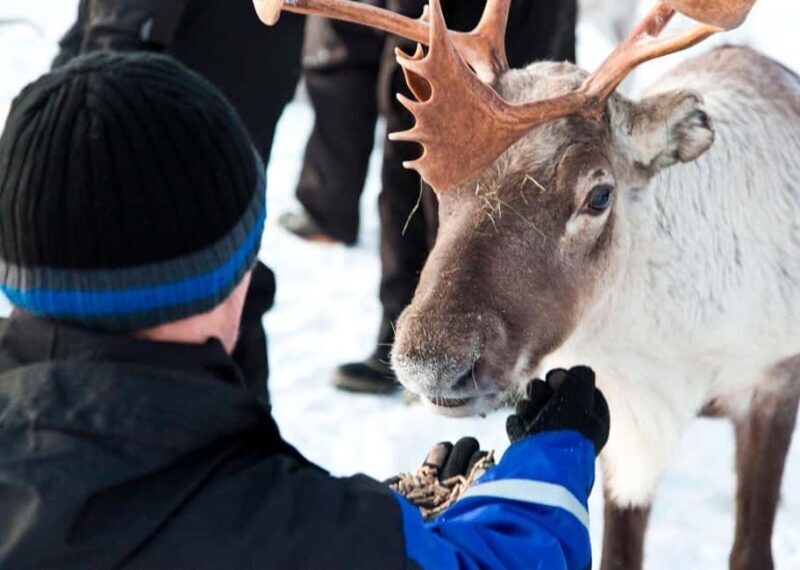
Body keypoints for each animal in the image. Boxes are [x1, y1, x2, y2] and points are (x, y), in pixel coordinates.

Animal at [256, 0, 799, 568]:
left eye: (599, 195)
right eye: (433, 182)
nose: (431, 364)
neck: (666, 355)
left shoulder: (773, 384)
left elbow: (751, 550)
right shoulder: (625, 428)